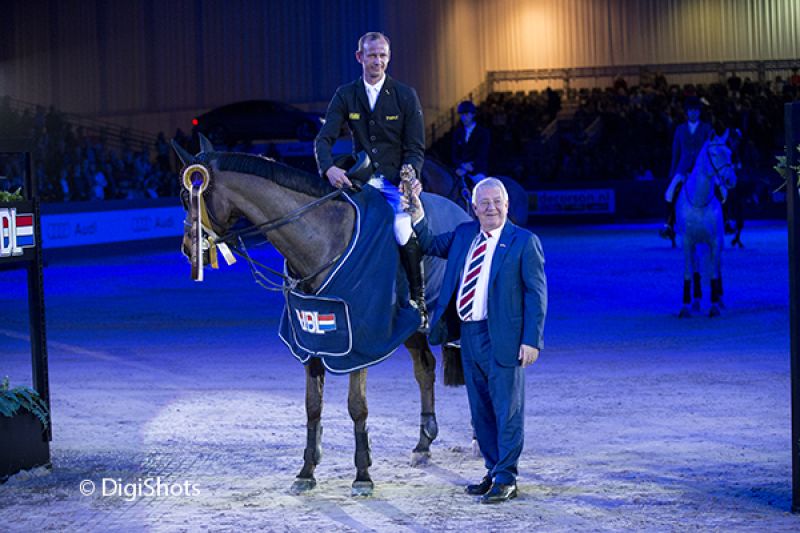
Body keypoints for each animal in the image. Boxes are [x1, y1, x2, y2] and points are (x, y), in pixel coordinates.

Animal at [173, 137, 468, 494]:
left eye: (189, 195)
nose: (189, 249)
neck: (320, 239)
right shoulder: (310, 338)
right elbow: (312, 406)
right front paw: (307, 470)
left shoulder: (358, 344)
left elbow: (357, 407)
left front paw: (362, 474)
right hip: (411, 329)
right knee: (425, 369)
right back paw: (423, 444)